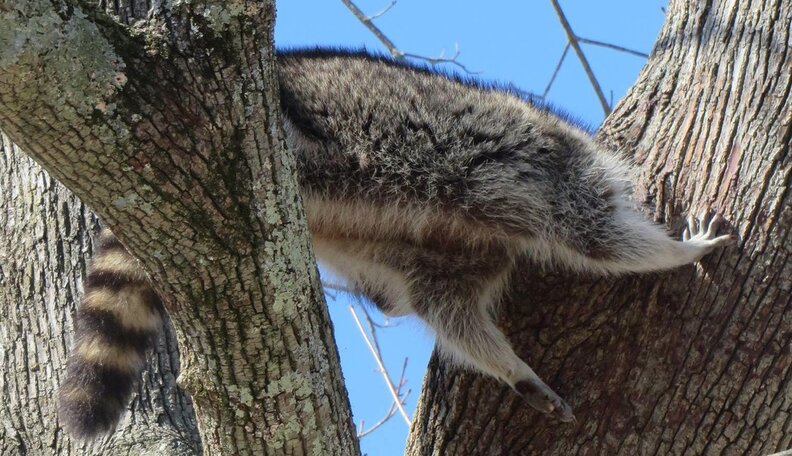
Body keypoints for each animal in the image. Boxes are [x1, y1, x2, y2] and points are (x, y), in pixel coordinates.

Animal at [59, 49, 735, 437]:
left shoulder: (452, 255)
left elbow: (448, 310)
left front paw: (510, 367)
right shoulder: (546, 172)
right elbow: (598, 234)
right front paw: (678, 251)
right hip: (297, 127)